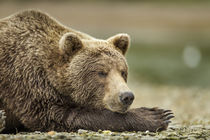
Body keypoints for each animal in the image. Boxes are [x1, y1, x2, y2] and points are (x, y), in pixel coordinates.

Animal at [0, 10, 174, 133]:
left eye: (123, 72)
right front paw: (157, 115)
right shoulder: (26, 81)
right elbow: (58, 115)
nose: (126, 96)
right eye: (101, 72)